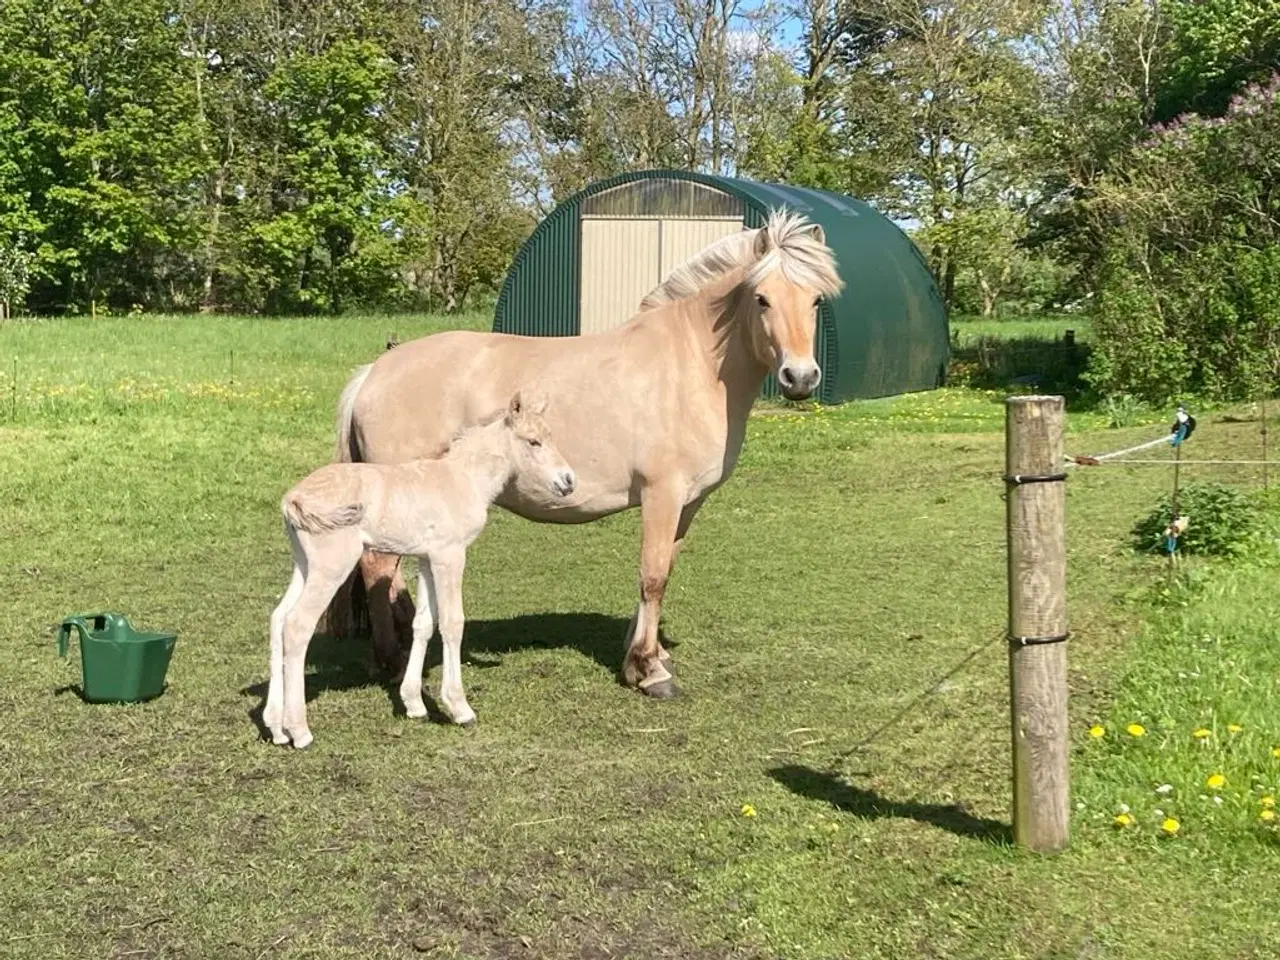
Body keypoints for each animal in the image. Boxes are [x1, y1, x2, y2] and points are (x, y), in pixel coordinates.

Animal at [264, 394, 576, 747]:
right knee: (297, 625)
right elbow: (453, 623)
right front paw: (459, 708)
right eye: (533, 441)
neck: (463, 478)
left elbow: (424, 623)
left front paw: (414, 704)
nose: (568, 481)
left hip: (304, 564)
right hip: (332, 566)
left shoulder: (428, 559)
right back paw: (299, 731)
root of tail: (293, 499)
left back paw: (275, 728)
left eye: (551, 436)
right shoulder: (449, 556)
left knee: (278, 619)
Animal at [327, 208, 839, 701]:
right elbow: (652, 574)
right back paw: (392, 662)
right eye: (762, 299)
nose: (800, 377)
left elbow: (664, 570)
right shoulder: (662, 494)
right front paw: (650, 672)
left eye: (816, 300)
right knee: (377, 568)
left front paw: (645, 655)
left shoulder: (688, 503)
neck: (692, 365)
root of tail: (375, 371)